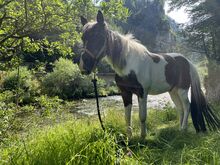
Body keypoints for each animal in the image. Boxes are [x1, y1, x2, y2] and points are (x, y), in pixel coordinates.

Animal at [77, 10, 220, 139]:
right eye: (83, 38)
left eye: (98, 36)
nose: (84, 66)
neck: (129, 65)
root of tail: (188, 62)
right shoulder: (125, 93)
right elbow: (127, 117)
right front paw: (129, 138)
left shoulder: (142, 93)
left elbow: (142, 116)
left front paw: (143, 136)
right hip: (173, 91)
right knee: (180, 108)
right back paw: (179, 129)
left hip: (182, 90)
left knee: (187, 106)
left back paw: (183, 128)